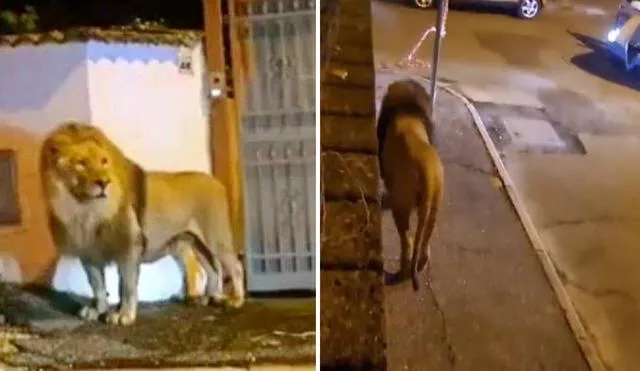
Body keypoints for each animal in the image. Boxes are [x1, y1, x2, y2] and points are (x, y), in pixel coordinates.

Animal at [40, 121, 245, 326]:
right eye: (80, 163)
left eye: (104, 161)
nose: (104, 182)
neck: (85, 210)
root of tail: (216, 181)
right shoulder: (89, 255)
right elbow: (97, 286)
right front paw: (98, 310)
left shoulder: (129, 248)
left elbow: (126, 286)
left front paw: (124, 315)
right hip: (194, 242)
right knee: (212, 269)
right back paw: (208, 298)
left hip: (215, 238)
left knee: (234, 266)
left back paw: (236, 300)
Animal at [376, 79, 444, 294]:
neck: (408, 113)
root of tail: (428, 173)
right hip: (434, 208)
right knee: (424, 242)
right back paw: (420, 264)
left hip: (401, 206)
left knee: (406, 240)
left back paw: (401, 269)